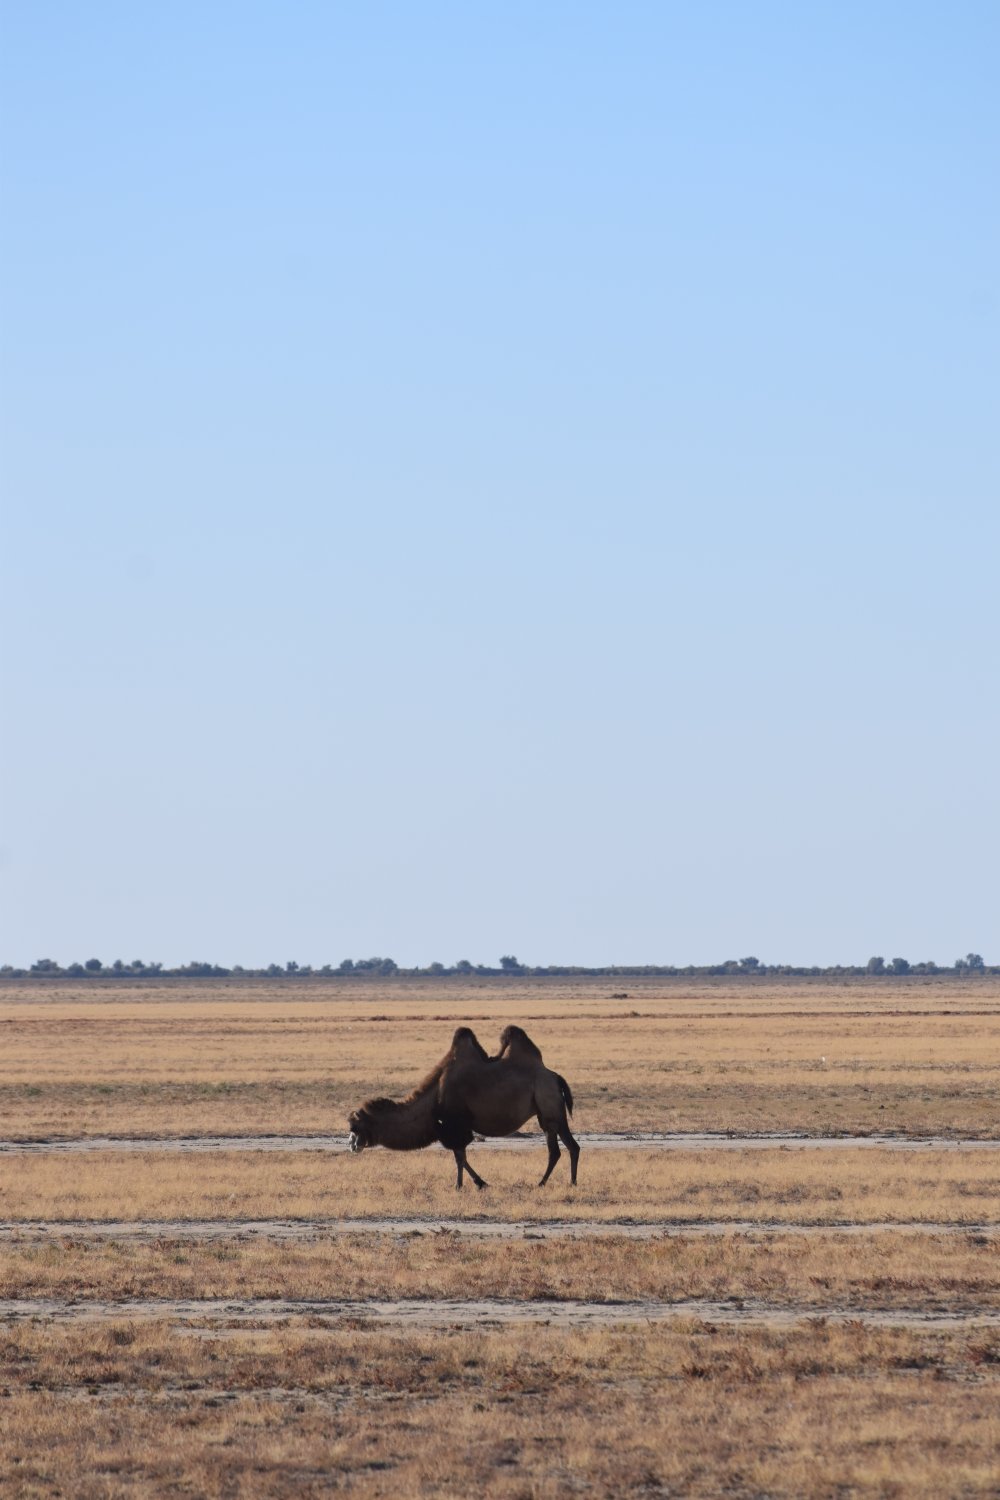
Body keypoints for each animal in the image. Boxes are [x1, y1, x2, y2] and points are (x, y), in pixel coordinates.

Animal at [347, 1025, 580, 1190]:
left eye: (355, 1127)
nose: (351, 1146)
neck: (433, 1099)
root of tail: (555, 1077)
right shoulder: (453, 1127)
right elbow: (461, 1156)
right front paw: (480, 1183)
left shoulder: (455, 1125)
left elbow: (459, 1157)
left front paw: (461, 1185)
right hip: (545, 1115)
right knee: (557, 1149)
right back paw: (548, 1182)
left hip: (551, 1107)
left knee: (569, 1146)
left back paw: (564, 1183)